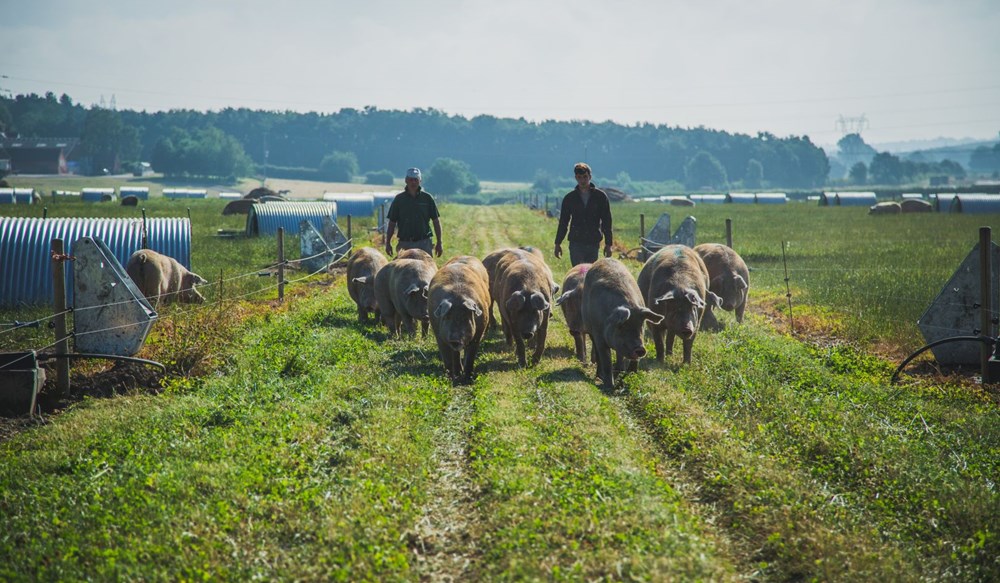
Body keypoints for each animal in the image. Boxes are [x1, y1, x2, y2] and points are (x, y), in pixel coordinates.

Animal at [429, 256, 491, 385]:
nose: (455, 339)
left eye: (465, 317)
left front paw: (468, 379)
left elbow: (470, 357)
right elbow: (447, 357)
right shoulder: (439, 334)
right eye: (447, 317)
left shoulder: (478, 335)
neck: (458, 296)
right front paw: (451, 379)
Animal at [582, 258, 663, 389]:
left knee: (619, 355)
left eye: (641, 325)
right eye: (622, 326)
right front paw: (609, 387)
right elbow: (606, 361)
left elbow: (632, 360)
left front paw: (631, 377)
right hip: (590, 330)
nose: (640, 348)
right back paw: (600, 376)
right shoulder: (599, 335)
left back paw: (619, 371)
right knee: (599, 355)